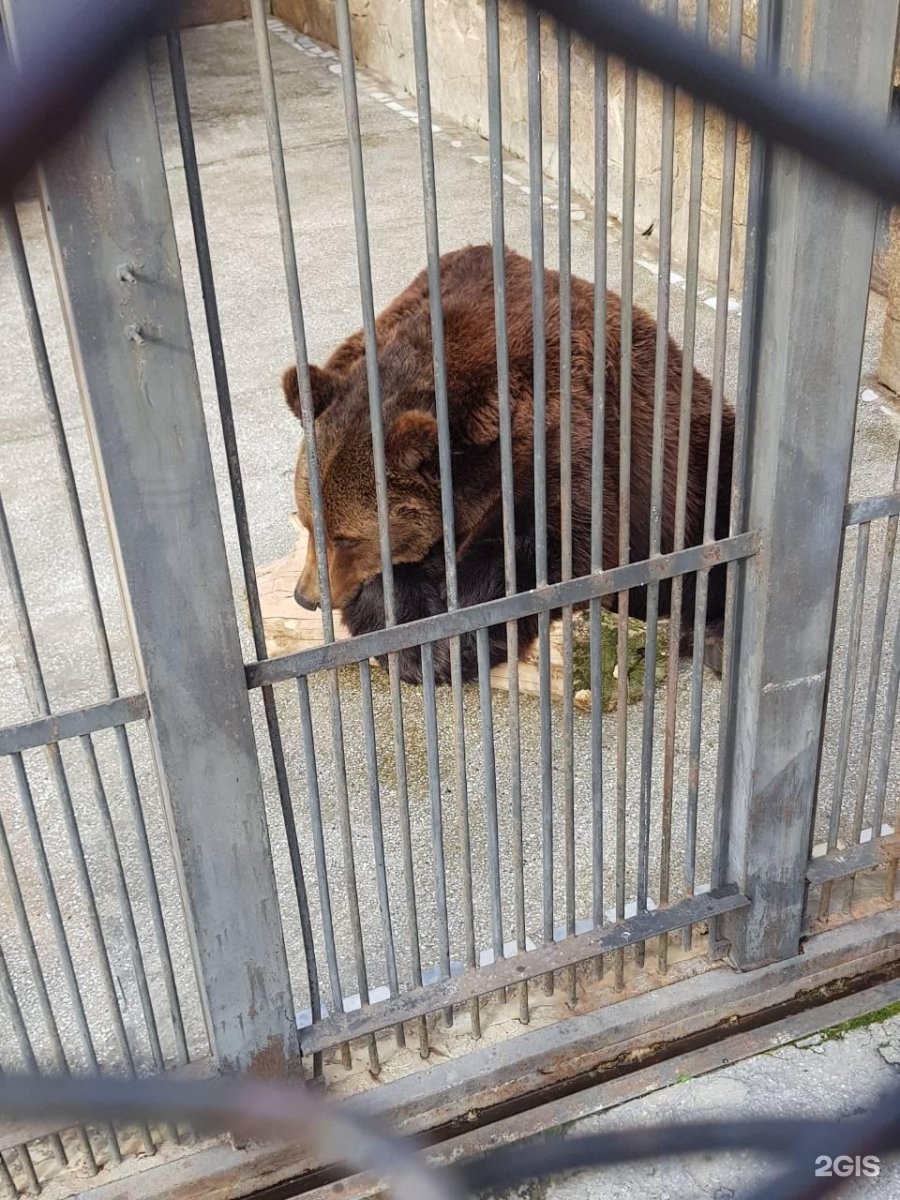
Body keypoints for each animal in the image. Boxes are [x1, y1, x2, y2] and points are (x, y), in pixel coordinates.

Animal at [282, 243, 734, 686]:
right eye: (308, 522)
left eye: (347, 539)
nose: (306, 596)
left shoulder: (570, 429)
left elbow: (547, 538)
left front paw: (447, 648)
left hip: (695, 455)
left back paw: (714, 638)